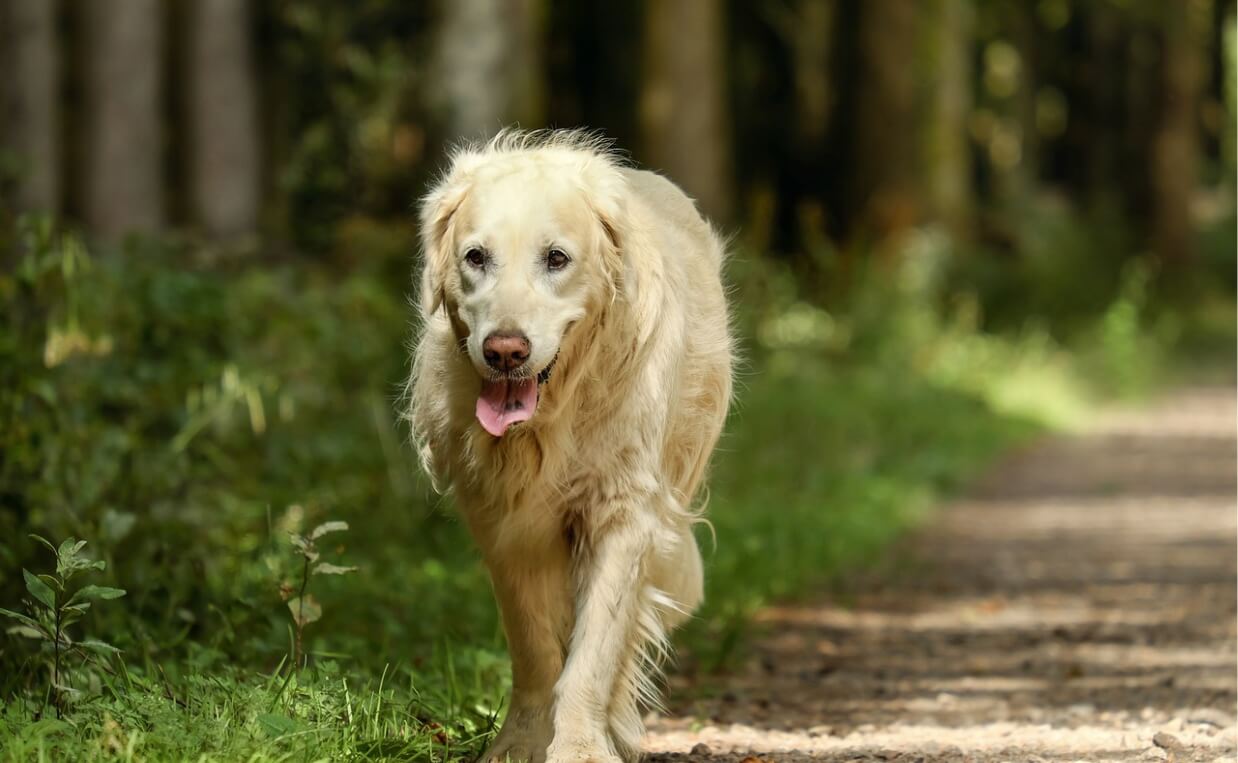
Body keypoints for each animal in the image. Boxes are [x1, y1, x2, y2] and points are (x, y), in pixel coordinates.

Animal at [406, 128, 732, 758]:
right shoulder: (504, 522)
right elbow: (535, 648)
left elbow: (595, 651)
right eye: (475, 257)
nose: (504, 350)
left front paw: (581, 745)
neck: (552, 417)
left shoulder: (624, 512)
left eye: (556, 259)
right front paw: (521, 742)